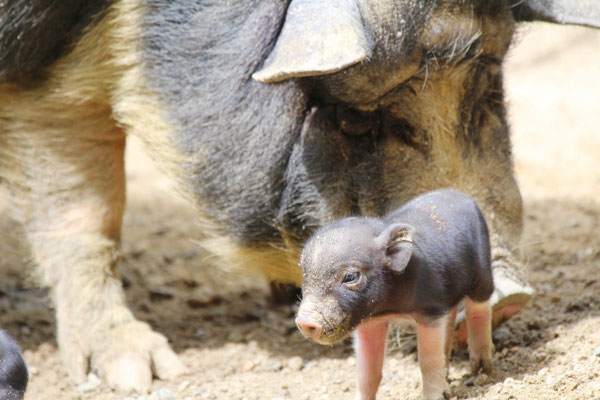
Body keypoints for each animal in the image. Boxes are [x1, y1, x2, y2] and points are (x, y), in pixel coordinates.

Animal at [1, 0, 600, 394]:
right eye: (355, 118)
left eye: (484, 98)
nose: (508, 293)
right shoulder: (34, 56)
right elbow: (85, 208)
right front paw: (141, 374)